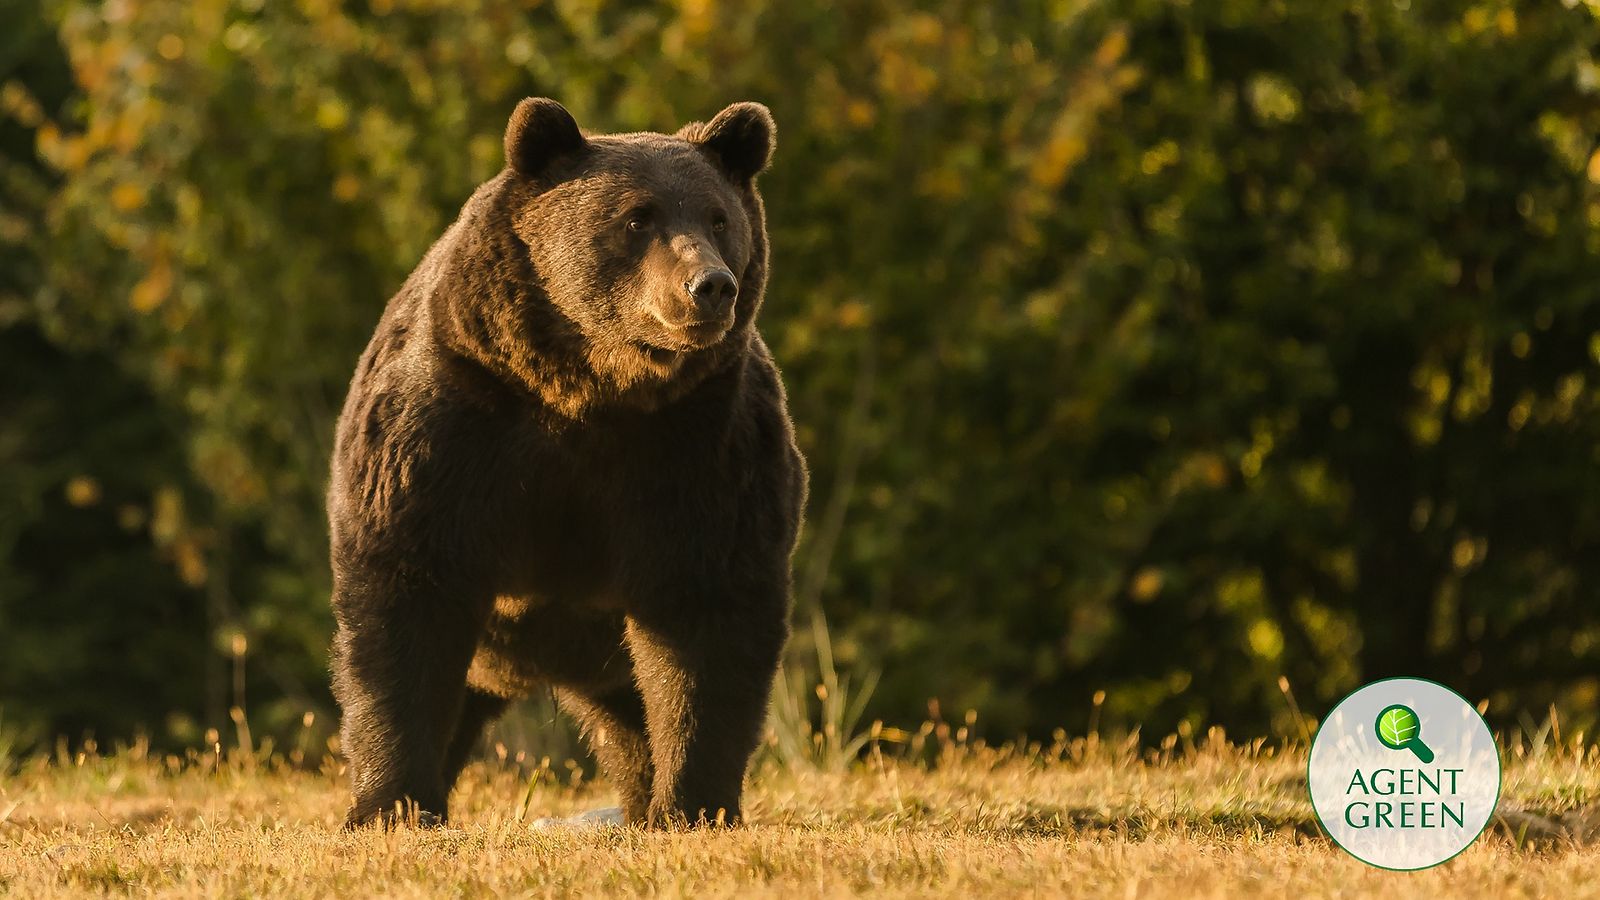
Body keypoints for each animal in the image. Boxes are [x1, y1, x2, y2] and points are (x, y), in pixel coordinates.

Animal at [323, 98, 806, 826]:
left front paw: (693, 803)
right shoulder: (451, 422)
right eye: (637, 217)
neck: (590, 388)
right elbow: (406, 596)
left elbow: (707, 614)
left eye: (719, 218)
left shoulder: (701, 445)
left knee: (631, 720)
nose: (710, 286)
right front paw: (390, 804)